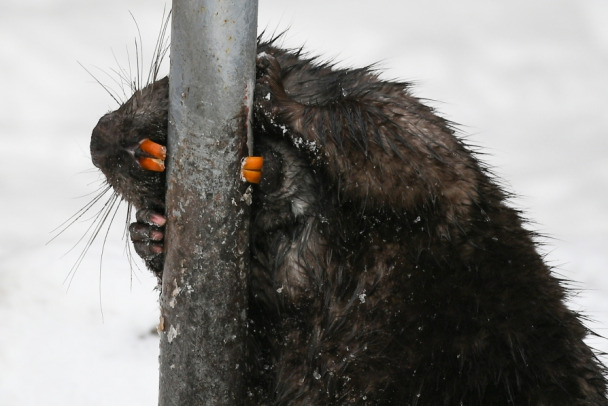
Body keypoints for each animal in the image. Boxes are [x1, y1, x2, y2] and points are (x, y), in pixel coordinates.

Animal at [88, 38, 604, 406]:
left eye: (168, 86)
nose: (97, 139)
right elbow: (253, 365)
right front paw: (151, 235)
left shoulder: (419, 135)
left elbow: (394, 145)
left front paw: (270, 86)